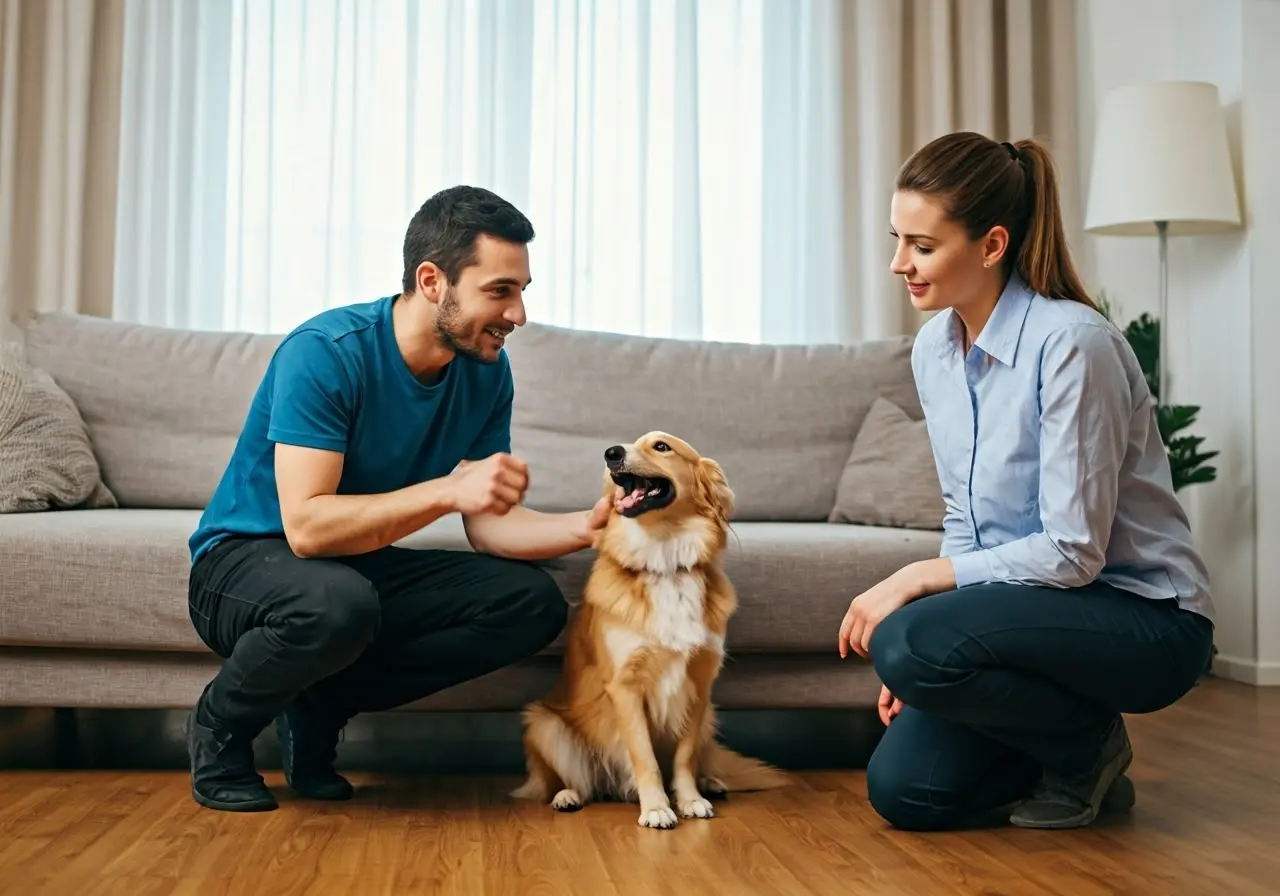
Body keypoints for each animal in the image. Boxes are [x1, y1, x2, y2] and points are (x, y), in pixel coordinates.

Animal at [509, 430, 788, 829]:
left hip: (709, 716)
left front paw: (689, 799)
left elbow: (684, 757)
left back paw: (710, 782)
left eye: (661, 446)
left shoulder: (698, 686)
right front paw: (656, 807)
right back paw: (567, 795)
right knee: (567, 780)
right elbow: (645, 757)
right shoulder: (625, 687)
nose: (611, 453)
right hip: (543, 724)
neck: (664, 556)